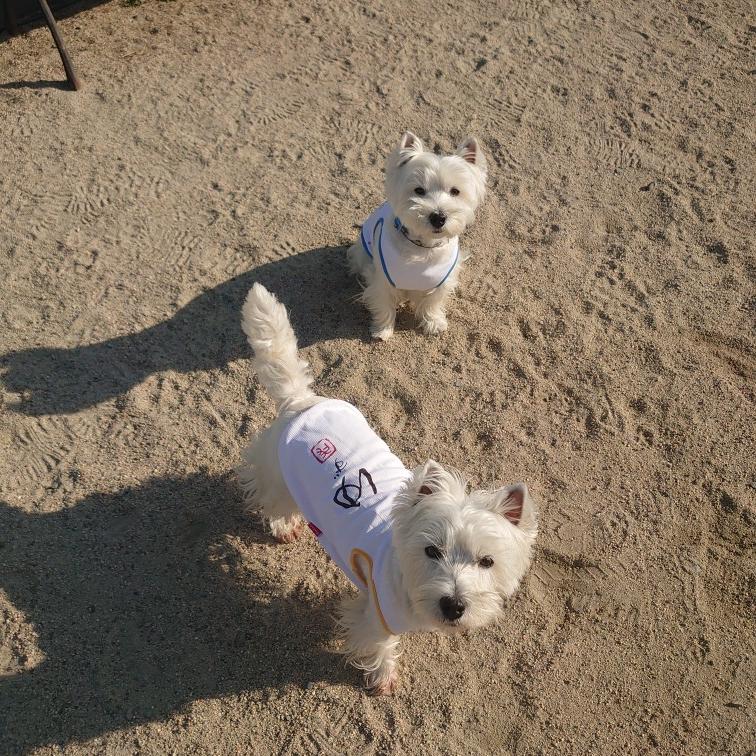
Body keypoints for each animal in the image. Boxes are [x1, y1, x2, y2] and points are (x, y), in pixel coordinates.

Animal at [237, 284, 536, 694]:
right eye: (431, 550)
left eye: (487, 561)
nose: (454, 606)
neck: (406, 578)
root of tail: (302, 401)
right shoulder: (376, 608)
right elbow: (378, 641)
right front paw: (383, 678)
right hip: (279, 474)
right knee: (270, 495)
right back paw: (283, 527)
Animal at [347, 131, 487, 340]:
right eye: (419, 190)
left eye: (455, 191)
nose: (438, 217)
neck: (423, 246)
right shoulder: (382, 279)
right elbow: (384, 303)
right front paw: (383, 329)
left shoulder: (440, 281)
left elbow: (432, 304)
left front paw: (434, 323)